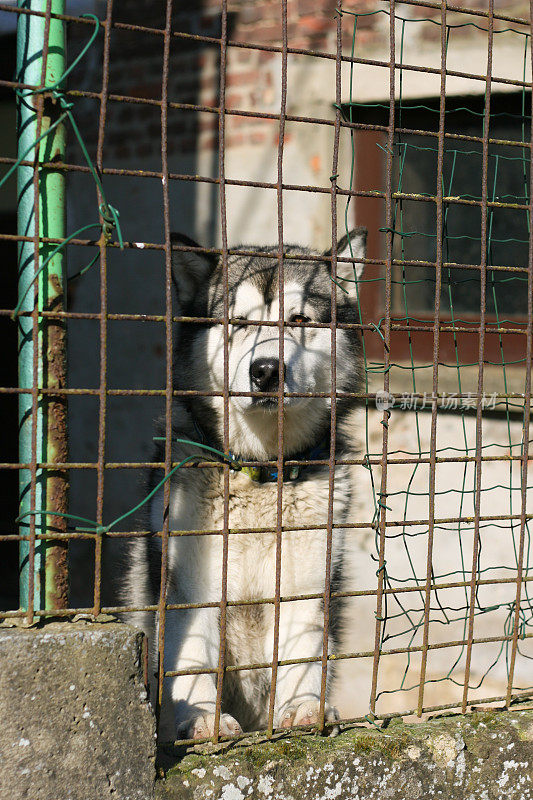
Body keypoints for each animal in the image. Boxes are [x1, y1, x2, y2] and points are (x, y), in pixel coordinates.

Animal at [124, 228, 366, 740]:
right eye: (238, 322)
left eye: (299, 320)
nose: (266, 370)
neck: (259, 471)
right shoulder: (189, 585)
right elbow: (191, 659)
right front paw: (200, 717)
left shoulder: (305, 582)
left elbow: (302, 656)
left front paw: (304, 707)